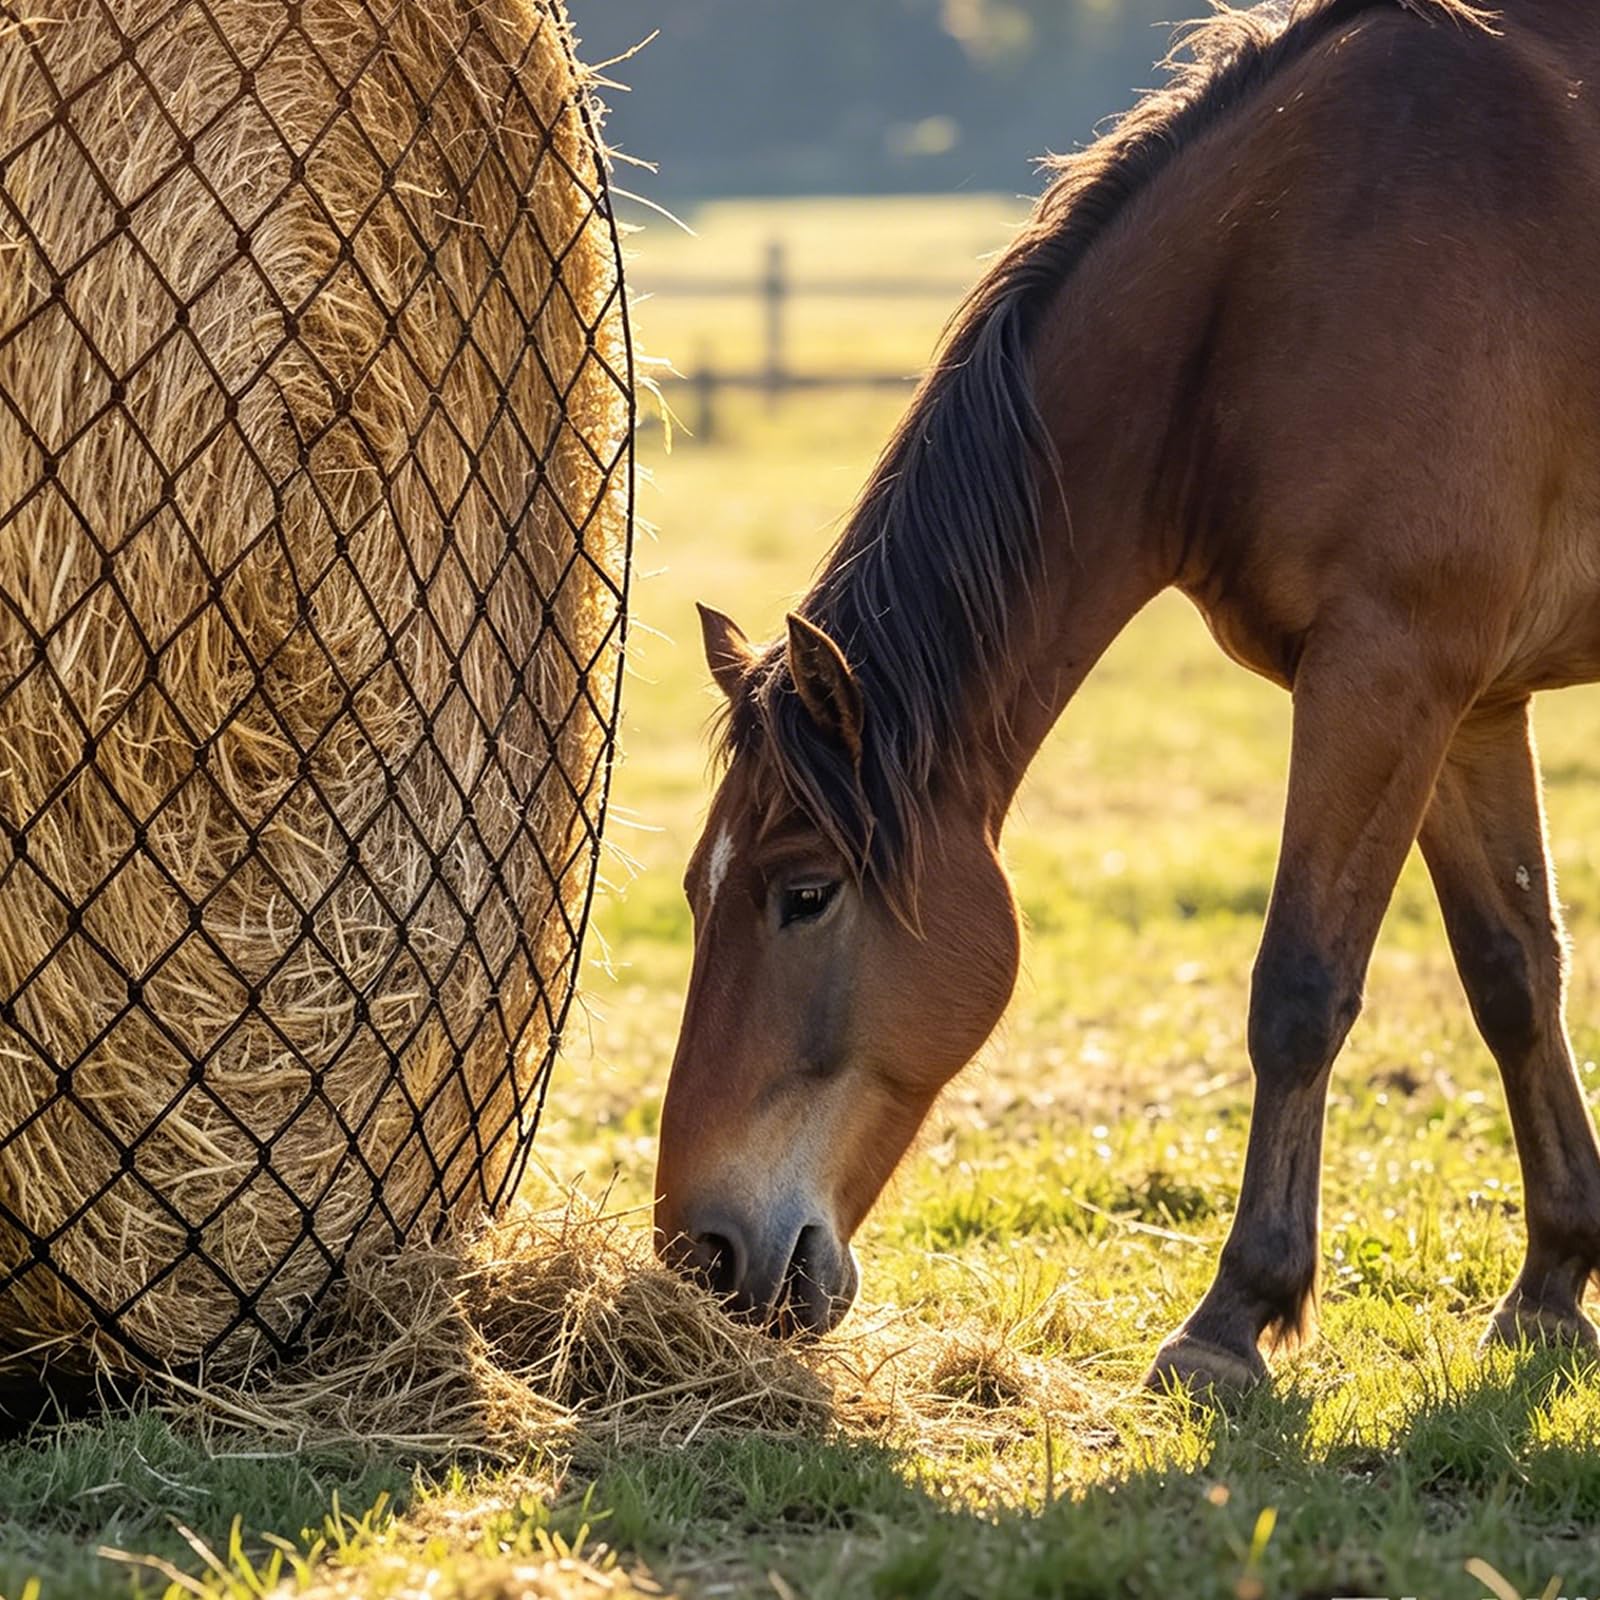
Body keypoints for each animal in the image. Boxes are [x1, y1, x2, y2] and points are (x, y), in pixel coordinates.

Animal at [652, 0, 1600, 1391]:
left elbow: (1299, 989)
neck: (1283, 273)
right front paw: (1548, 1290)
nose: (704, 1257)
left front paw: (1231, 1318)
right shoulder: (1465, 702)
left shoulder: (1383, 672)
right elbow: (1514, 976)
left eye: (805, 893)